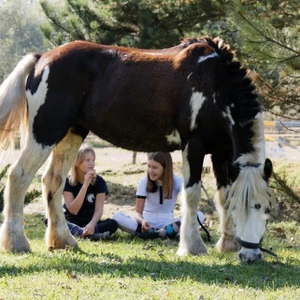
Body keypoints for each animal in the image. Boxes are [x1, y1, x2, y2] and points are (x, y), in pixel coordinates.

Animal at [0, 35, 274, 262]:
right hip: (44, 133)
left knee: (53, 181)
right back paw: (17, 243)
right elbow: (193, 195)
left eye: (265, 207)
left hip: (72, 133)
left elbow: (223, 196)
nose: (251, 256)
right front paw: (193, 247)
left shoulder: (222, 151)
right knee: (19, 176)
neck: (215, 82)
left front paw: (227, 244)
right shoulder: (194, 146)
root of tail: (41, 60)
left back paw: (63, 241)